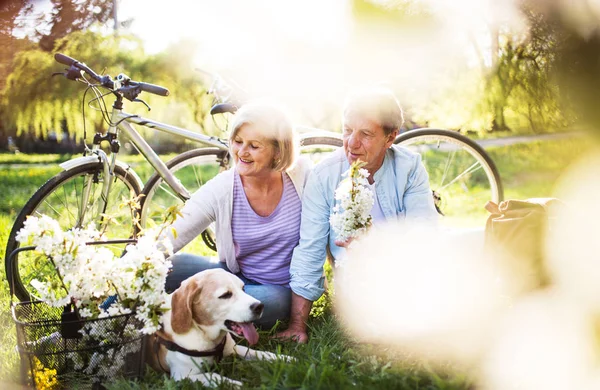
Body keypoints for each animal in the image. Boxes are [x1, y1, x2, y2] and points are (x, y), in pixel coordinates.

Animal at [148, 268, 292, 386]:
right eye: (226, 295)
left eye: (243, 289)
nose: (259, 306)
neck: (203, 333)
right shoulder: (182, 377)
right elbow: (214, 375)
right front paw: (235, 384)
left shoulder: (234, 348)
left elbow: (260, 353)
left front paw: (286, 359)